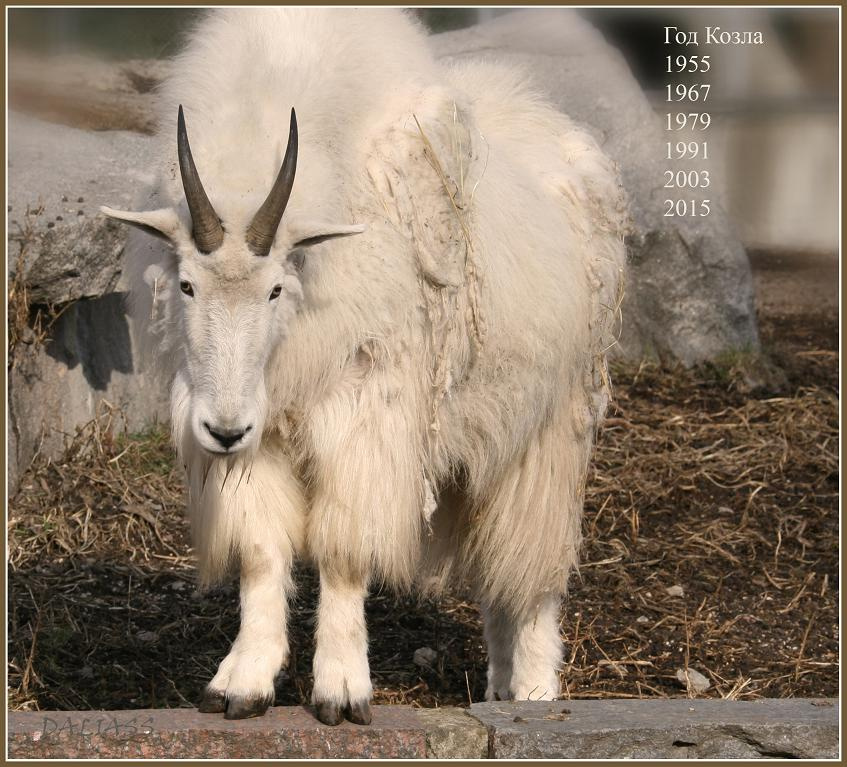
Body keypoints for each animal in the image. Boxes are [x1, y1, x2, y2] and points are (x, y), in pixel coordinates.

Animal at [102, 8, 626, 724]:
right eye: (186, 284)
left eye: (276, 288)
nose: (224, 431)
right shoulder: (264, 438)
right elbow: (261, 553)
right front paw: (241, 684)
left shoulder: (365, 422)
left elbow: (343, 553)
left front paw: (342, 691)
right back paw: (495, 687)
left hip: (555, 424)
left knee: (530, 564)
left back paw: (534, 691)